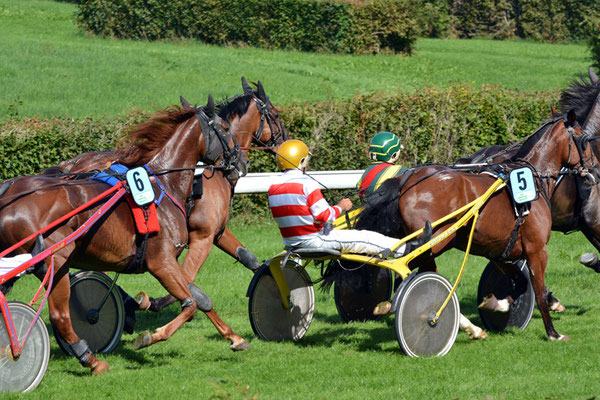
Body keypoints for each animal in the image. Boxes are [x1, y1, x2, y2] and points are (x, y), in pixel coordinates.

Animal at [0, 95, 244, 374]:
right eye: (225, 128)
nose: (241, 162)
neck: (164, 185)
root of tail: (9, 192)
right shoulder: (161, 261)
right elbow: (190, 304)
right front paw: (148, 337)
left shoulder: (170, 260)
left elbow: (201, 299)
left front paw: (234, 337)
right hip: (55, 262)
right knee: (60, 316)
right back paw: (90, 360)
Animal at [358, 111, 592, 340]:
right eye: (585, 140)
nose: (592, 169)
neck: (533, 181)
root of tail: (407, 181)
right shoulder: (537, 249)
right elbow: (539, 291)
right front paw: (553, 333)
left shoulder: (499, 252)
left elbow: (520, 283)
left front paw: (496, 304)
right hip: (437, 241)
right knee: (406, 266)